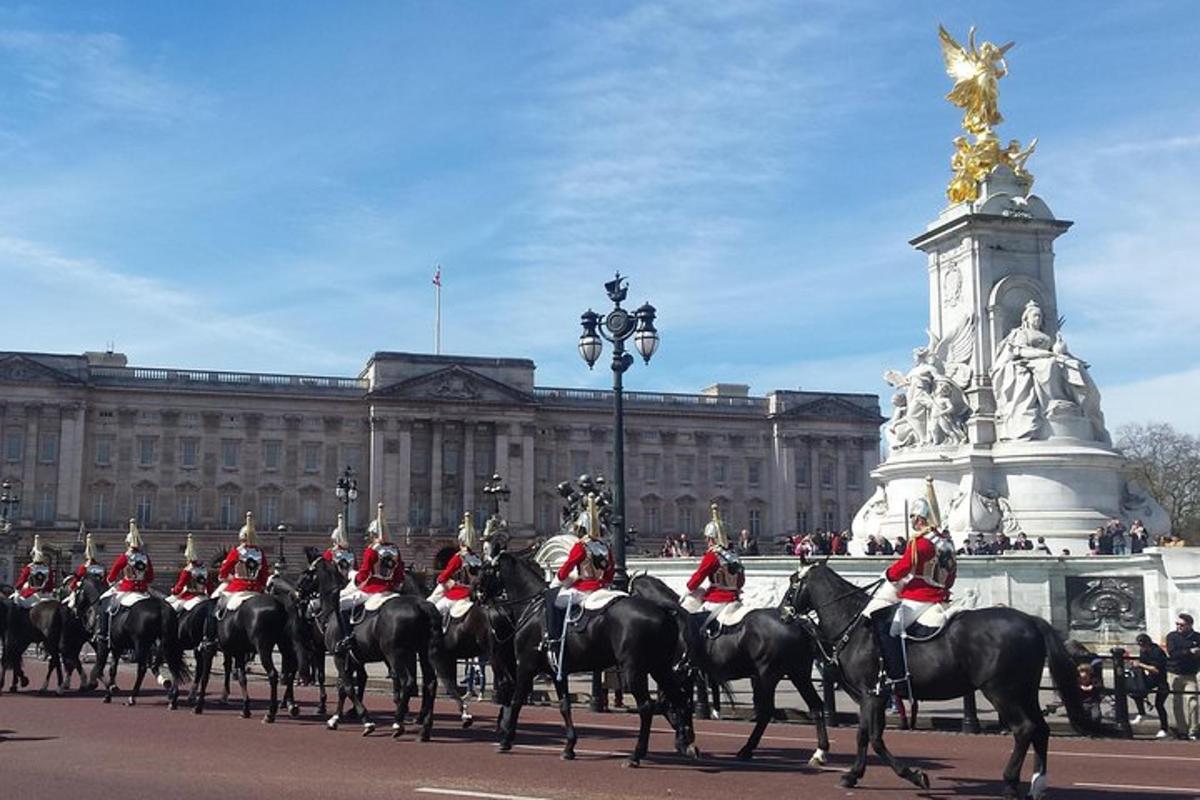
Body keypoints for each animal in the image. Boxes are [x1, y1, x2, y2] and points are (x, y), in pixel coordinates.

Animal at [477, 551, 700, 762]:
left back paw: (637, 755)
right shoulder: (557, 671)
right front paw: (569, 747)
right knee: (679, 699)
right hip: (659, 668)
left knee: (647, 707)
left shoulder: (525, 665)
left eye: (485, 568)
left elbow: (517, 701)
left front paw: (506, 739)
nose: (477, 595)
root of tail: (664, 611)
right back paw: (687, 742)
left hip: (634, 670)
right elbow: (564, 706)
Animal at [624, 573, 830, 767]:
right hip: (797, 674)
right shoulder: (682, 674)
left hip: (767, 676)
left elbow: (668, 704)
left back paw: (747, 749)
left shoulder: (675, 672)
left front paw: (685, 741)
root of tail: (798, 624)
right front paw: (686, 739)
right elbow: (678, 704)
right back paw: (819, 753)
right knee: (815, 706)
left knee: (766, 711)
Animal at [782, 563, 1108, 800]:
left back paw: (1010, 782)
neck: (854, 622)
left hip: (1001, 690)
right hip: (1024, 690)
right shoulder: (874, 693)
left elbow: (872, 738)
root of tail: (1032, 620)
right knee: (1040, 729)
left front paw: (911, 775)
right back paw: (1038, 784)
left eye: (792, 583)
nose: (784, 614)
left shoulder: (871, 692)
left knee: (1024, 729)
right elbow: (867, 736)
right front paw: (856, 774)